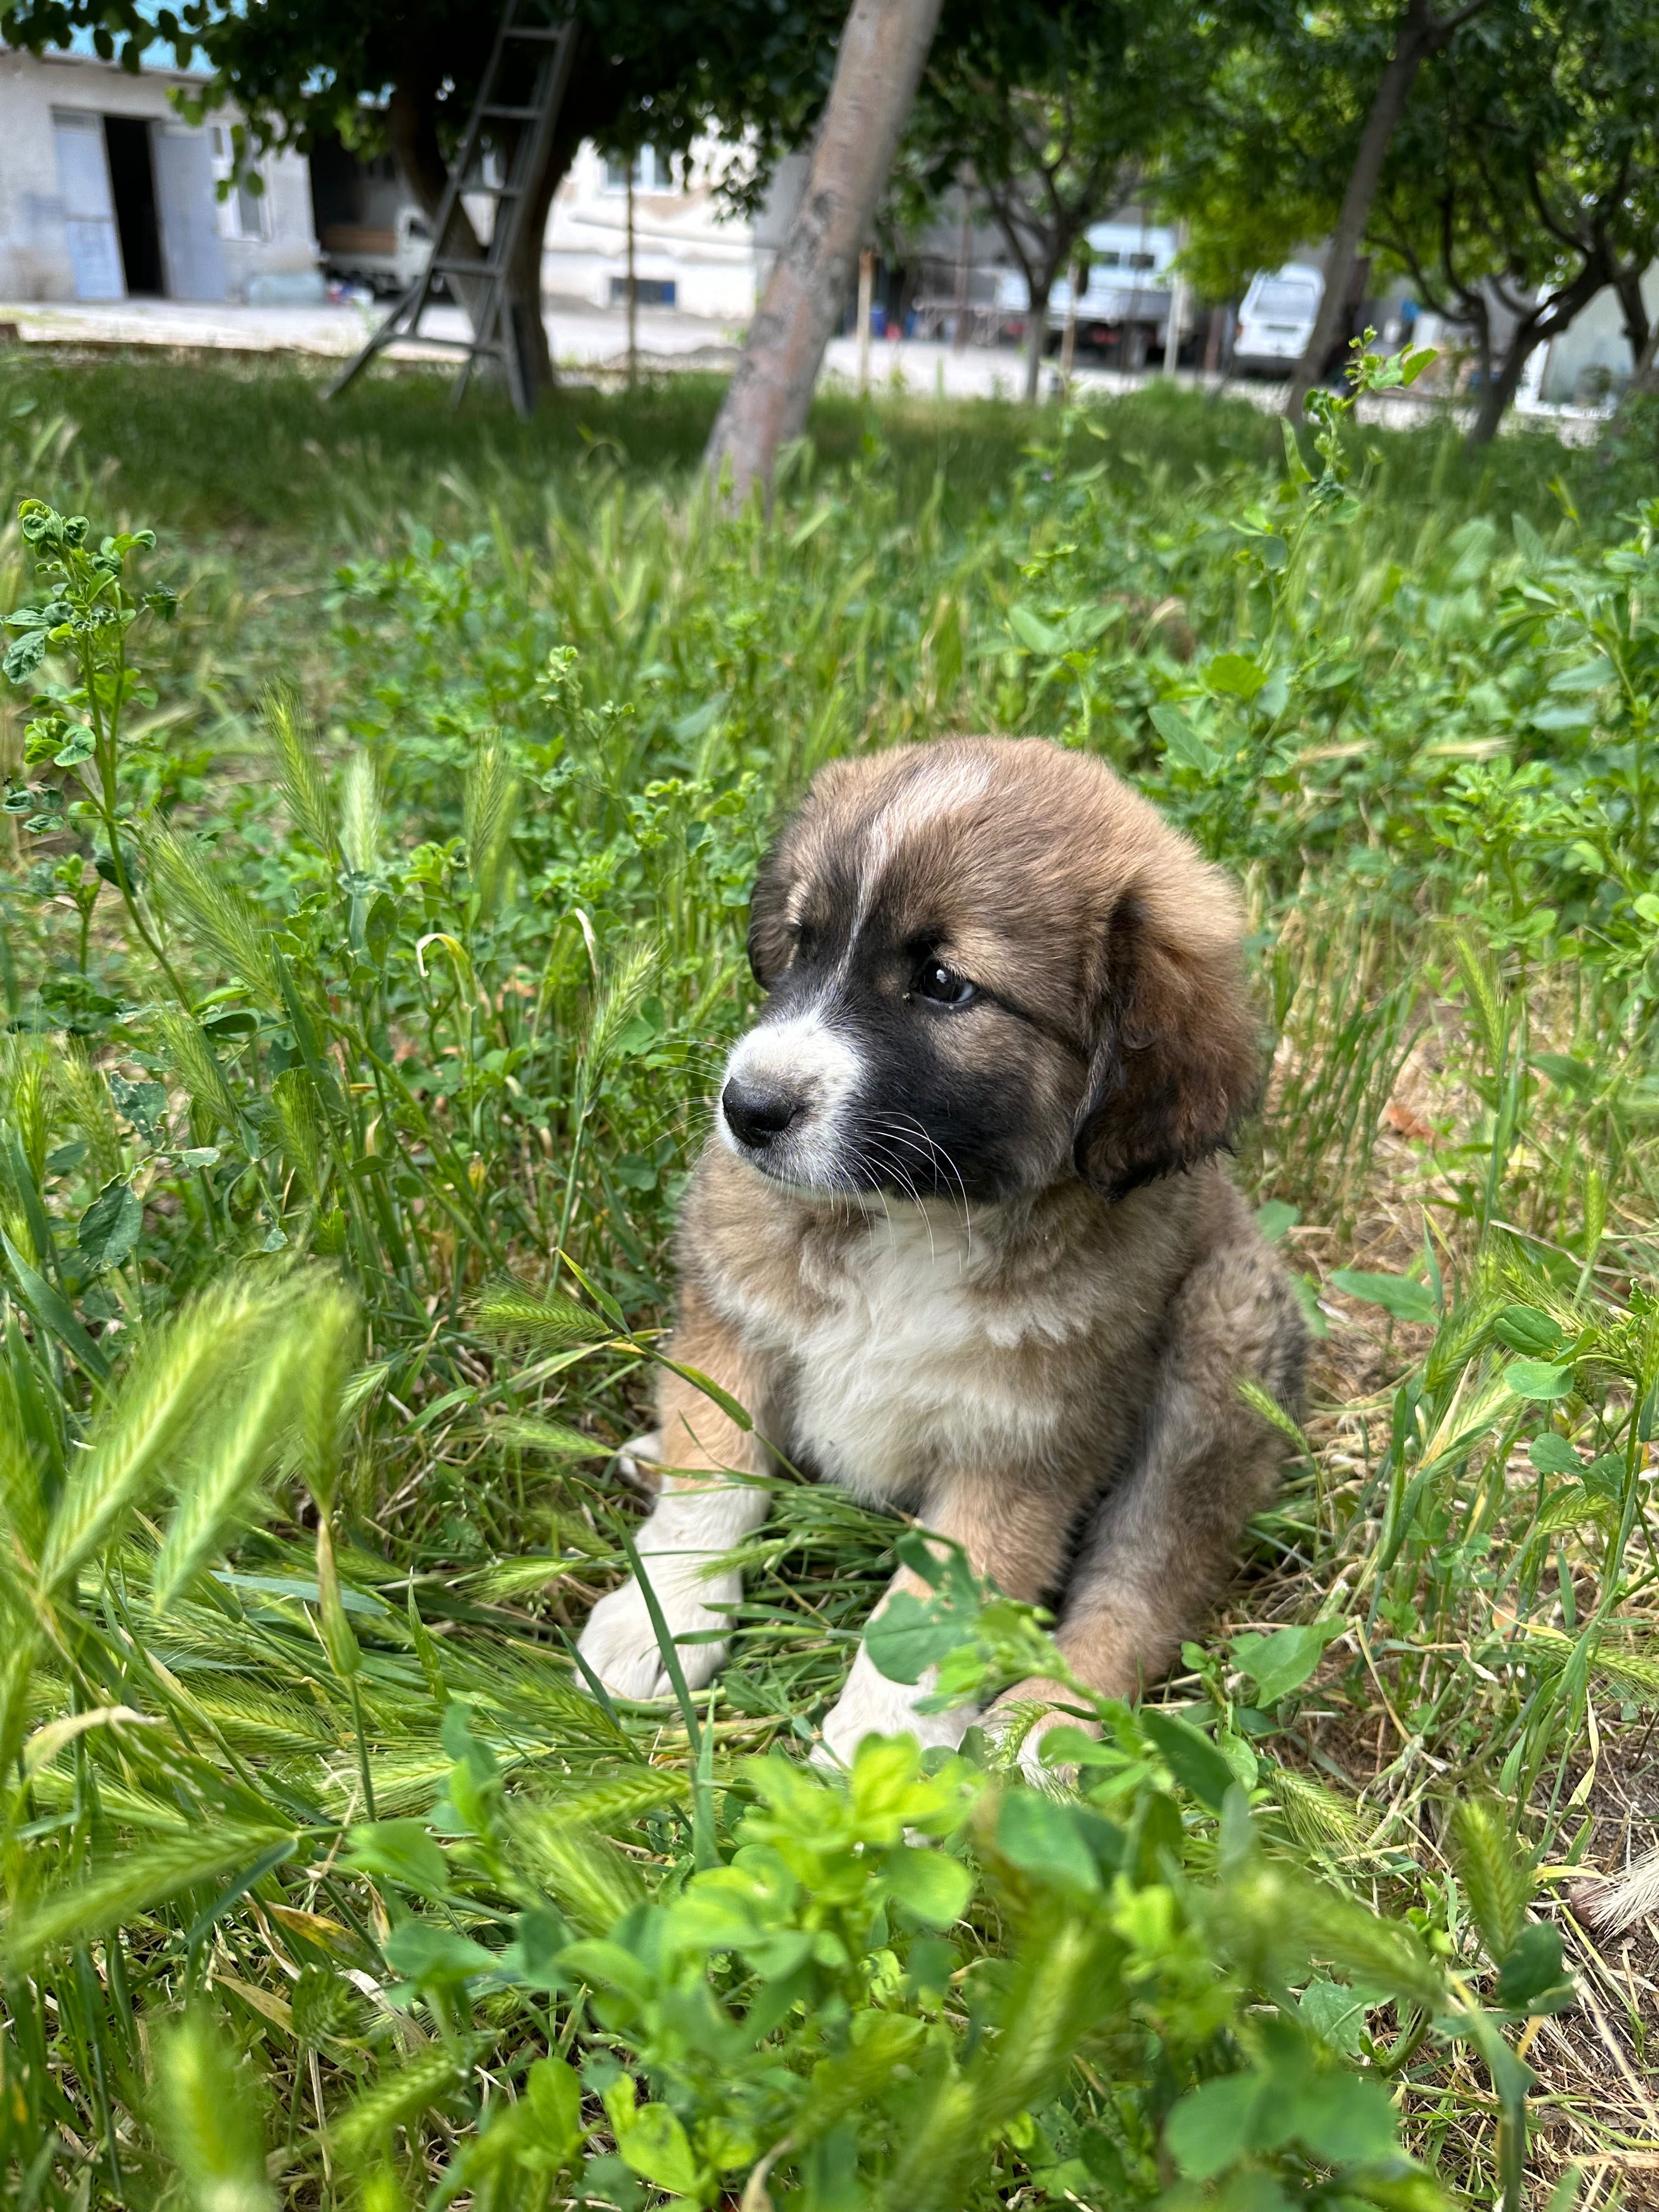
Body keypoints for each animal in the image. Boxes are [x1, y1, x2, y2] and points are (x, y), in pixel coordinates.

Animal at [584, 734, 1309, 1769]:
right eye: (802, 942)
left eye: (943, 984)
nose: (748, 1110)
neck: (913, 1218)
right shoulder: (737, 1318)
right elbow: (711, 1480)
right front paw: (658, 1623)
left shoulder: (1020, 1450)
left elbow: (938, 1620)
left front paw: (874, 1758)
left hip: (1214, 1361)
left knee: (1137, 1590)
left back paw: (1045, 1730)